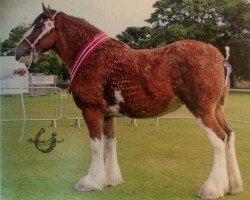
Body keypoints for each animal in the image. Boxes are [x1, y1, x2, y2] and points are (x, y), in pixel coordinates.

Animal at [15, 4, 242, 198]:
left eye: (38, 26)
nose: (18, 51)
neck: (93, 57)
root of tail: (220, 58)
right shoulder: (108, 116)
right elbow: (109, 144)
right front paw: (110, 180)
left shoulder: (91, 111)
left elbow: (96, 146)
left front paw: (91, 182)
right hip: (216, 109)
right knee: (229, 135)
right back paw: (232, 186)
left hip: (201, 110)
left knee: (219, 139)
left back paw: (212, 189)